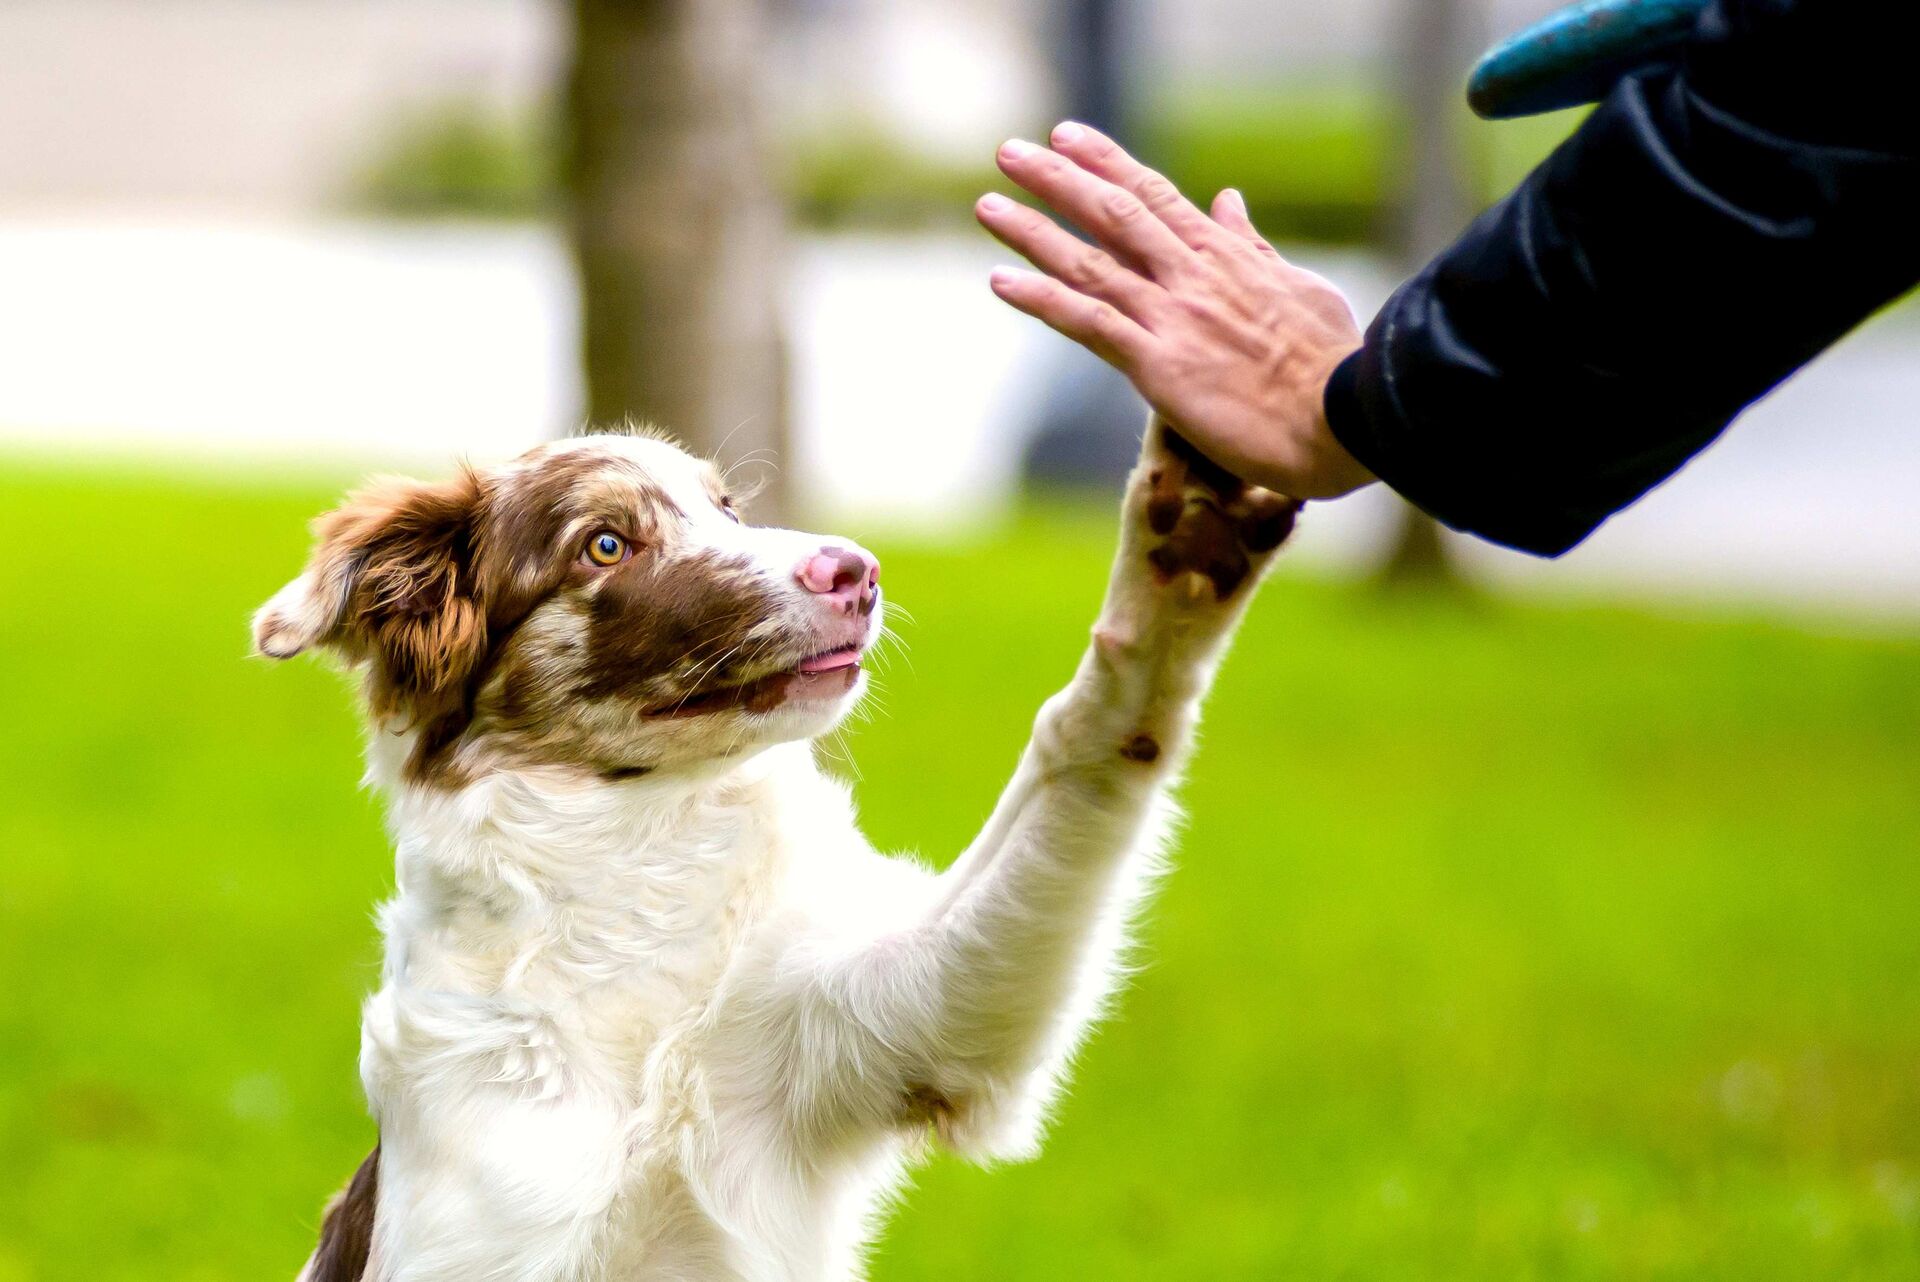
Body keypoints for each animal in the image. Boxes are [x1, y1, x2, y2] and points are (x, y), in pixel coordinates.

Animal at [255, 422, 1297, 1282]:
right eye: (606, 543)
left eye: (728, 508)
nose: (858, 570)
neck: (632, 873)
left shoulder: (900, 1023)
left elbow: (1081, 746)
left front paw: (1180, 552)